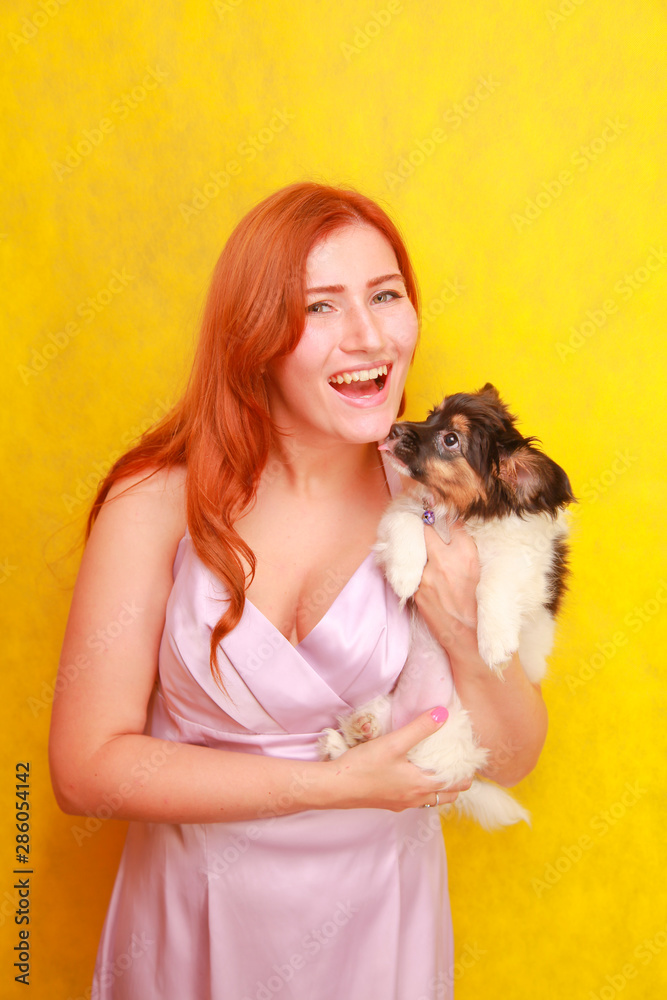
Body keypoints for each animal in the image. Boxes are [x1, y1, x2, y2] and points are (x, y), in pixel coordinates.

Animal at [318, 382, 576, 828]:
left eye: (451, 439)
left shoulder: (524, 564)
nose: (393, 428)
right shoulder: (402, 514)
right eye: (430, 415)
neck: (457, 513)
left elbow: (494, 583)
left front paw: (494, 641)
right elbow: (406, 522)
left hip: (447, 735)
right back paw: (351, 735)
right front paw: (406, 572)